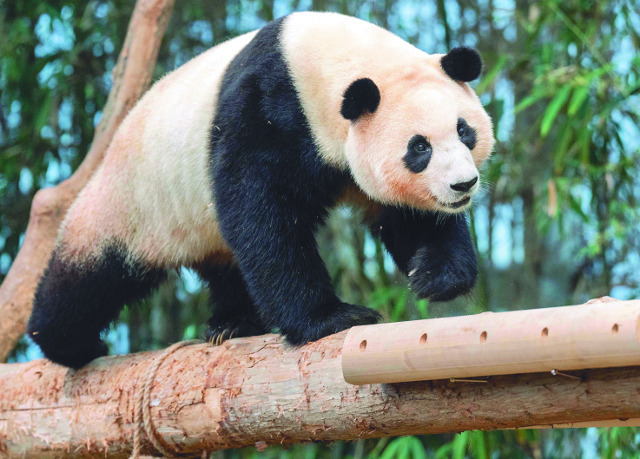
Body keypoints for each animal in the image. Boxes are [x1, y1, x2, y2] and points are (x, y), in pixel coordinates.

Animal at [26, 11, 496, 370]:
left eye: (464, 130)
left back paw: (232, 323)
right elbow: (261, 213)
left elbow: (409, 216)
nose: (463, 184)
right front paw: (333, 317)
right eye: (419, 147)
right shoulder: (266, 109)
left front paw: (433, 276)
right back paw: (69, 343)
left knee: (228, 267)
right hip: (133, 201)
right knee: (88, 277)